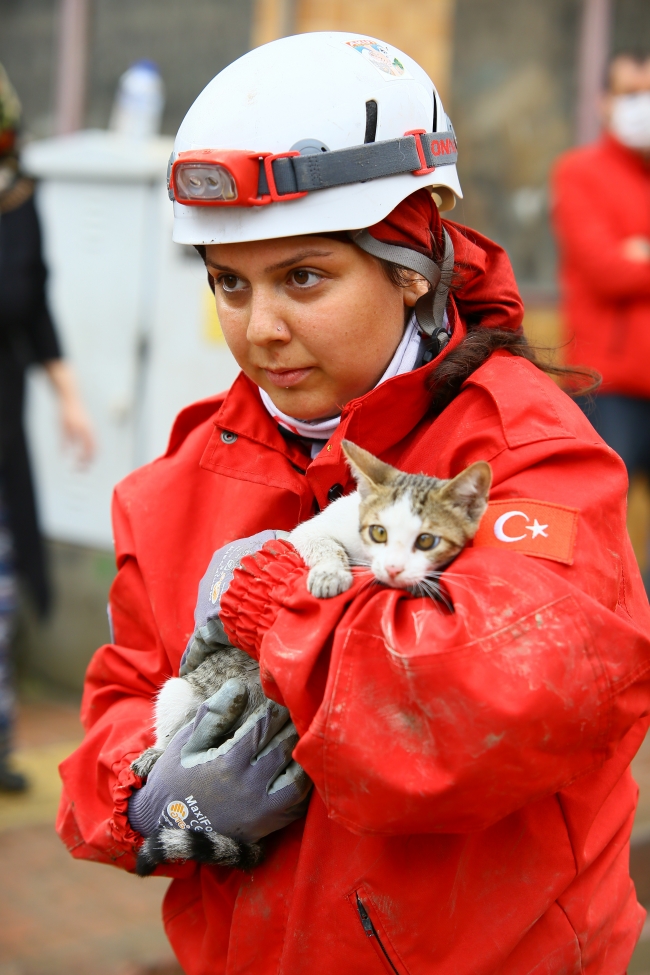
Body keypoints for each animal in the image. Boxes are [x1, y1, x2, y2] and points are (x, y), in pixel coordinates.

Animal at [130, 442, 486, 876]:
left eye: (427, 541)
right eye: (379, 532)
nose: (393, 568)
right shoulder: (314, 528)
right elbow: (320, 544)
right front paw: (330, 573)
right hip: (181, 689)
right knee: (173, 723)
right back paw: (157, 753)